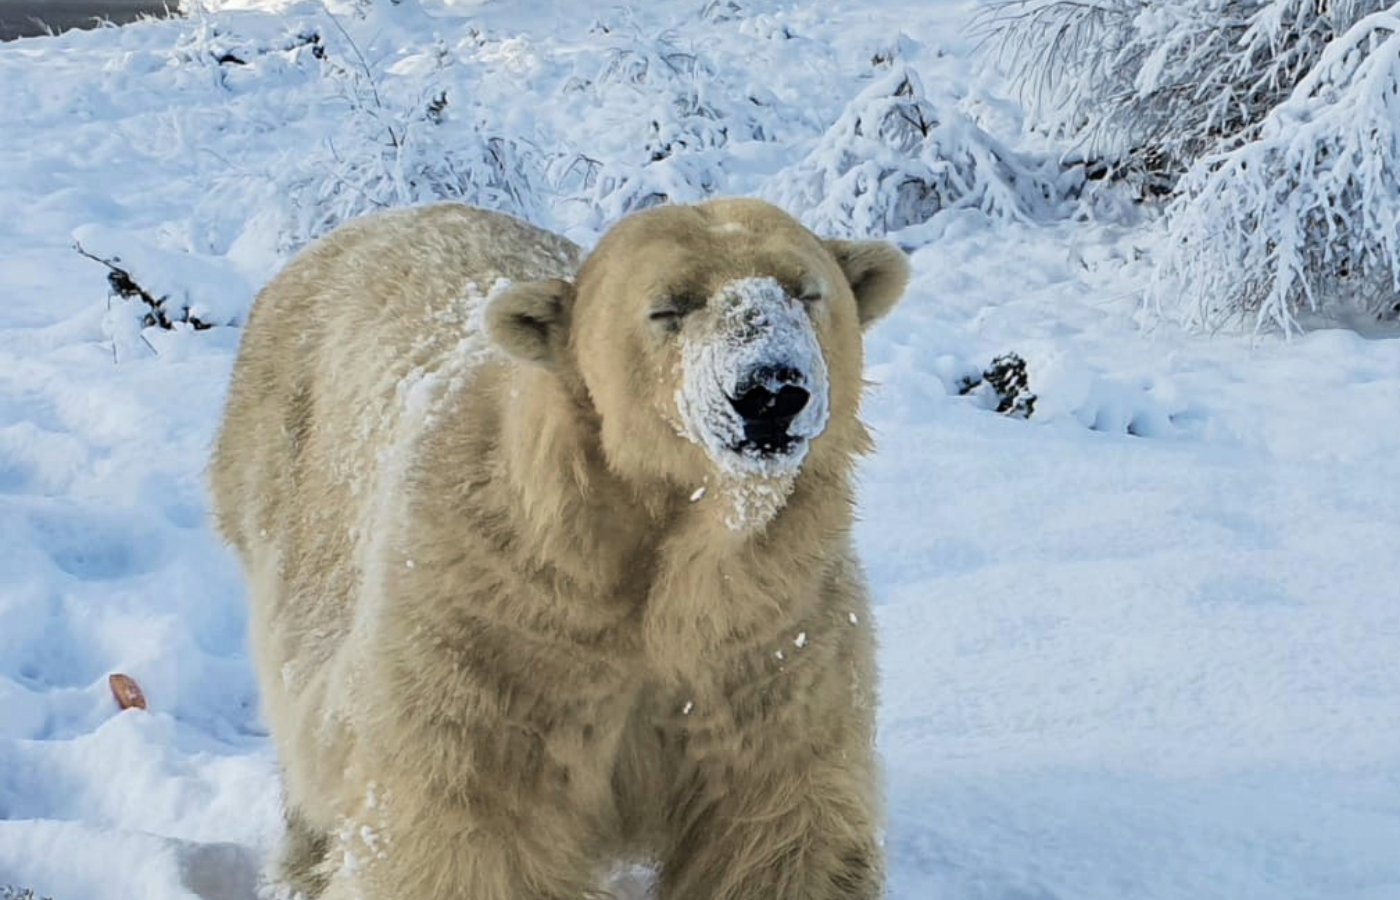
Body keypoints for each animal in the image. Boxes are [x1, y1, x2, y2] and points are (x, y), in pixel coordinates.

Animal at [207, 198, 907, 900]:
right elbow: (473, 824)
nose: (770, 390)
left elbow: (774, 822)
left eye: (806, 291)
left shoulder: (765, 631)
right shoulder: (502, 618)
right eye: (669, 307)